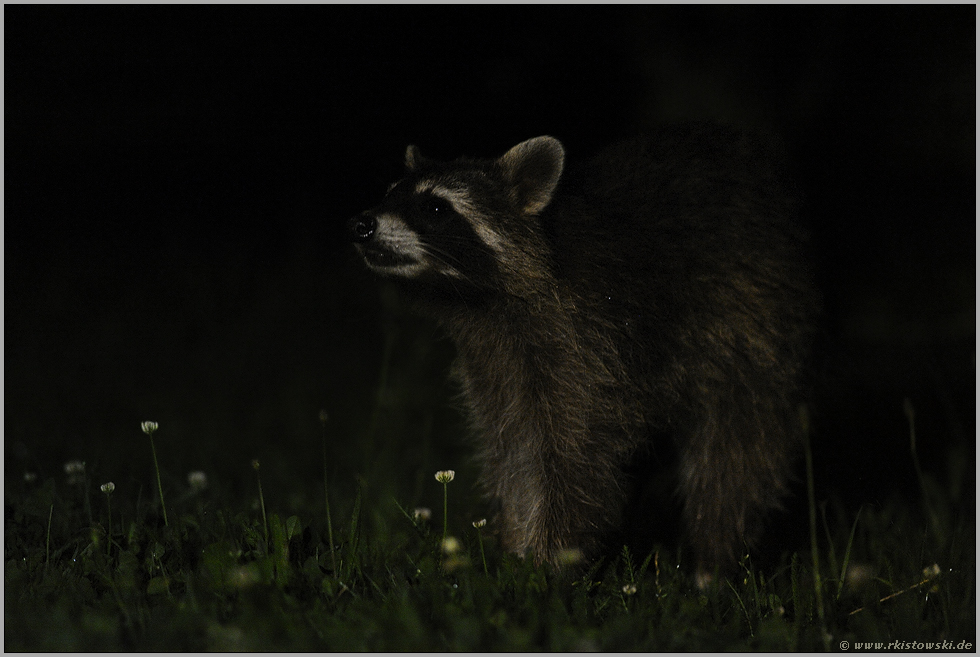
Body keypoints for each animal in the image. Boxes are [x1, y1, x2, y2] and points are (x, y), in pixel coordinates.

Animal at [346, 123, 820, 580]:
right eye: (389, 192)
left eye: (435, 208)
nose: (361, 224)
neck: (480, 303)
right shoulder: (495, 363)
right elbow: (511, 449)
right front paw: (513, 545)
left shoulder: (586, 348)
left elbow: (575, 458)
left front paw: (548, 565)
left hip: (755, 326)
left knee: (734, 456)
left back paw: (714, 561)